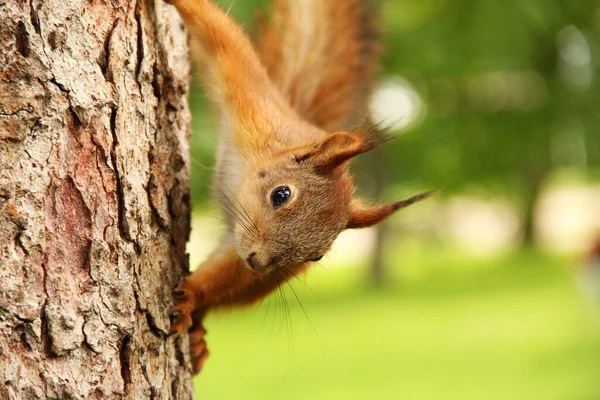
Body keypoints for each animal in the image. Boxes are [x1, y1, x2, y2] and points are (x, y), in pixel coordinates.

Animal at [166, 0, 434, 372]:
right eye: (281, 194)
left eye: (318, 255)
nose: (259, 262)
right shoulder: (250, 105)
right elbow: (221, 35)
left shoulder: (244, 251)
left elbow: (224, 273)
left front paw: (193, 296)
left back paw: (199, 340)